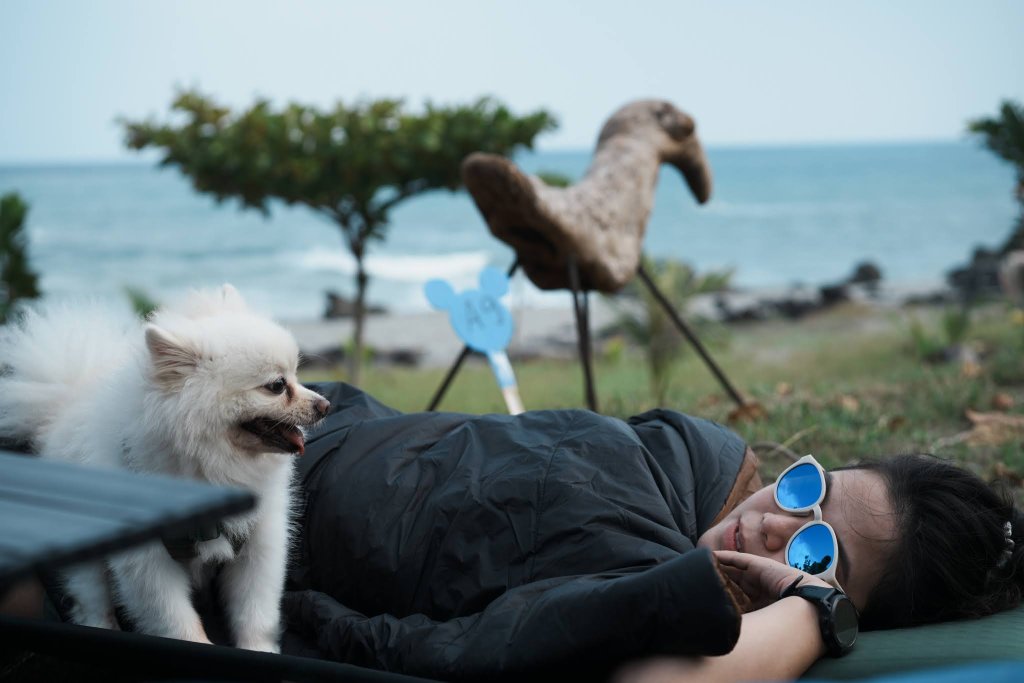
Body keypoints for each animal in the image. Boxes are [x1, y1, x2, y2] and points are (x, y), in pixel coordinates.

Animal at [0, 282, 327, 651]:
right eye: (277, 386)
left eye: (297, 376)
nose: (325, 405)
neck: (211, 469)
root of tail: (64, 404)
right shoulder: (146, 561)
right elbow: (176, 620)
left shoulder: (259, 544)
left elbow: (255, 614)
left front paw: (259, 652)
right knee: (91, 599)